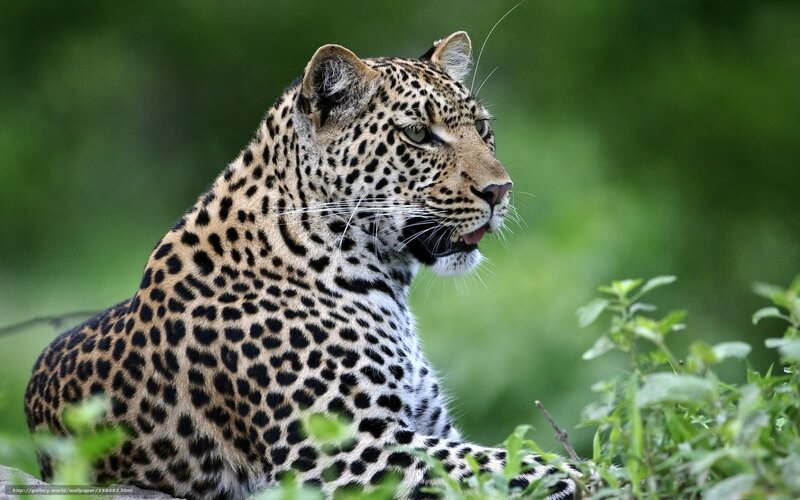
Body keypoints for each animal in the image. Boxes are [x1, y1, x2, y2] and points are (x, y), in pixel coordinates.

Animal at [24, 32, 577, 499]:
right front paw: (578, 471)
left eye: (482, 128)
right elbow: (509, 462)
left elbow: (499, 455)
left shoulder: (427, 426)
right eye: (419, 135)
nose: (500, 191)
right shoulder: (342, 450)